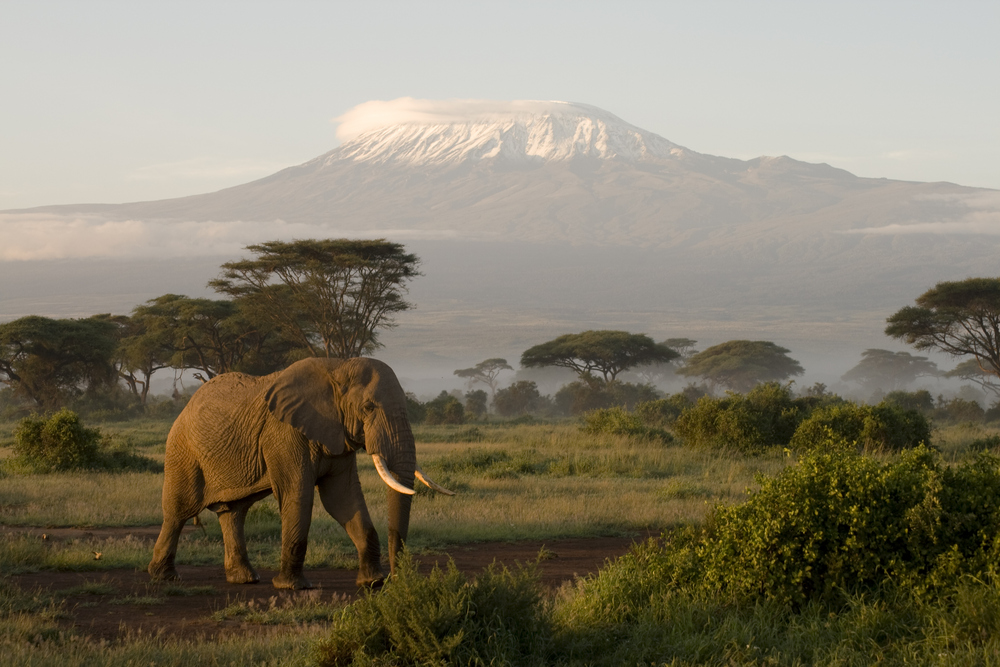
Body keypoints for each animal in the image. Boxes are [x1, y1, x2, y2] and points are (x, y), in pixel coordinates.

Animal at [147, 358, 454, 592]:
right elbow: (298, 494)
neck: (337, 367)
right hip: (183, 451)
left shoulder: (336, 434)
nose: (398, 579)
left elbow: (342, 499)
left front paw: (371, 582)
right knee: (178, 510)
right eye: (368, 408)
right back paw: (165, 577)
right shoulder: (285, 434)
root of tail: (185, 407)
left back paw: (244, 579)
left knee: (233, 512)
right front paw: (292, 587)